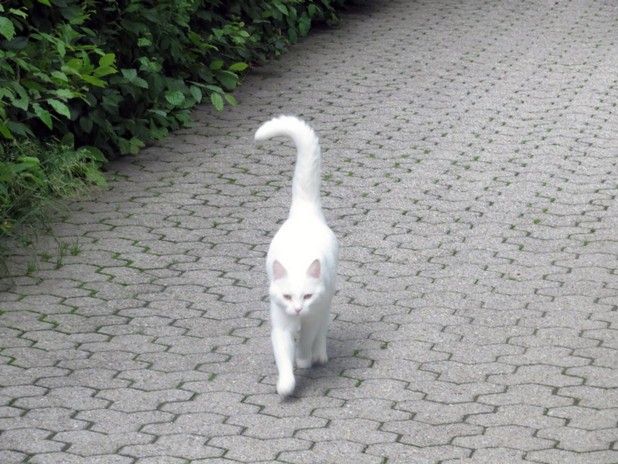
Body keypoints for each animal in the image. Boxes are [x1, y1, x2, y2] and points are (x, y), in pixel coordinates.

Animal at [255, 115, 339, 397]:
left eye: (307, 296)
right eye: (288, 296)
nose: (298, 308)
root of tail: (303, 212)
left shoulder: (313, 313)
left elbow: (305, 341)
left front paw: (303, 360)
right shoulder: (280, 322)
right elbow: (283, 354)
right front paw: (286, 384)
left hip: (327, 298)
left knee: (322, 329)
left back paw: (319, 355)